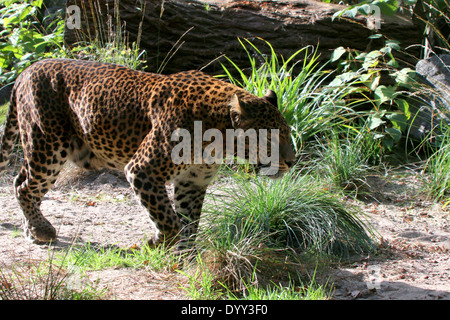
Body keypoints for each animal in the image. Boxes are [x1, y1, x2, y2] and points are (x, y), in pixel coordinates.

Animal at [0, 58, 296, 251]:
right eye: (270, 138)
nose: (292, 162)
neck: (218, 138)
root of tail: (26, 70)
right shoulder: (143, 170)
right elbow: (170, 220)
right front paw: (157, 242)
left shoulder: (192, 182)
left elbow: (190, 224)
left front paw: (185, 260)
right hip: (47, 145)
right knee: (24, 186)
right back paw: (40, 230)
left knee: (21, 182)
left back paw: (31, 230)